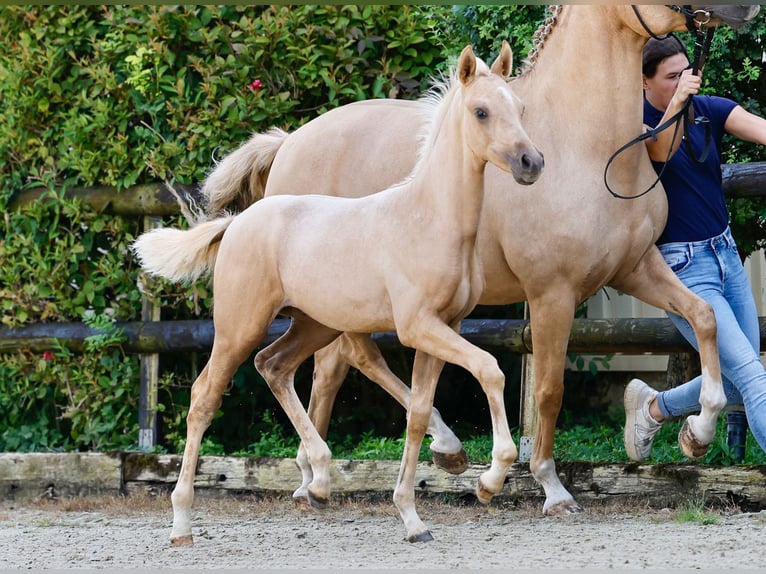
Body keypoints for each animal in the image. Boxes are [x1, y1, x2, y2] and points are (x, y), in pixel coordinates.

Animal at [135, 42, 548, 548]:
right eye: (481, 111)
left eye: (520, 109)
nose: (531, 163)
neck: (430, 219)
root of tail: (237, 222)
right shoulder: (418, 326)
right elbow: (489, 368)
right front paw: (489, 481)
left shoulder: (443, 327)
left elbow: (417, 411)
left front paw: (413, 517)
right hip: (239, 326)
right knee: (204, 396)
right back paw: (182, 523)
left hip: (314, 324)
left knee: (274, 365)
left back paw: (319, 476)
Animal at [201, 4, 764, 524]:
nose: (745, 9)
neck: (587, 144)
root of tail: (288, 143)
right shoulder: (552, 293)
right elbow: (549, 390)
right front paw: (549, 488)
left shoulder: (638, 267)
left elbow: (705, 317)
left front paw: (698, 433)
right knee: (350, 360)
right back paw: (391, 461)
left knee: (336, 365)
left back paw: (324, 479)